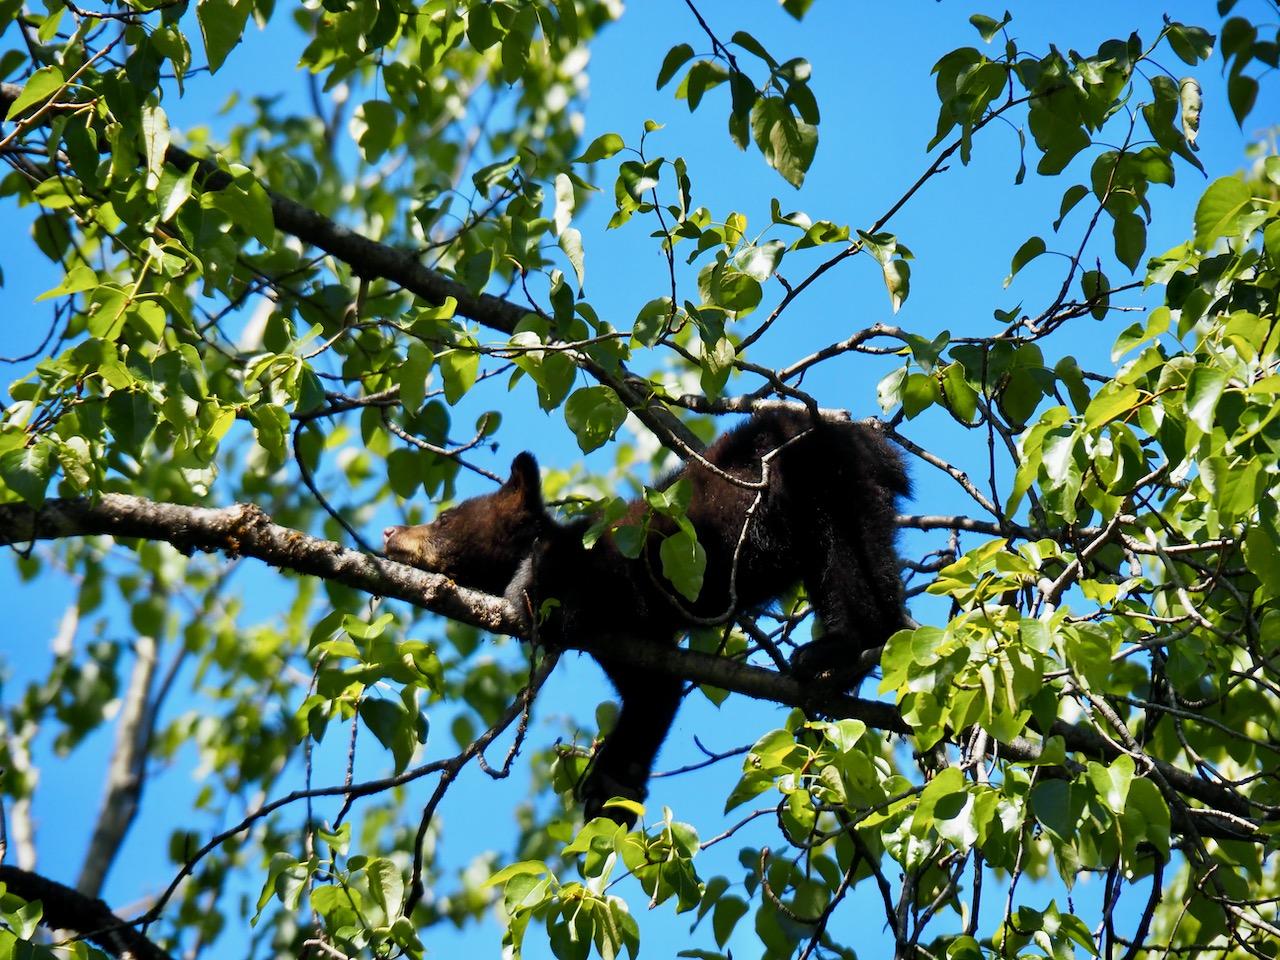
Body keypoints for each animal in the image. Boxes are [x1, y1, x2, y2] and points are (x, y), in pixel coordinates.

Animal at [383, 408, 910, 827]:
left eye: (445, 518)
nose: (390, 531)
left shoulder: (610, 564)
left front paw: (534, 594)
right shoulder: (626, 641)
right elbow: (653, 691)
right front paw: (612, 788)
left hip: (823, 482)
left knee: (846, 557)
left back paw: (835, 650)